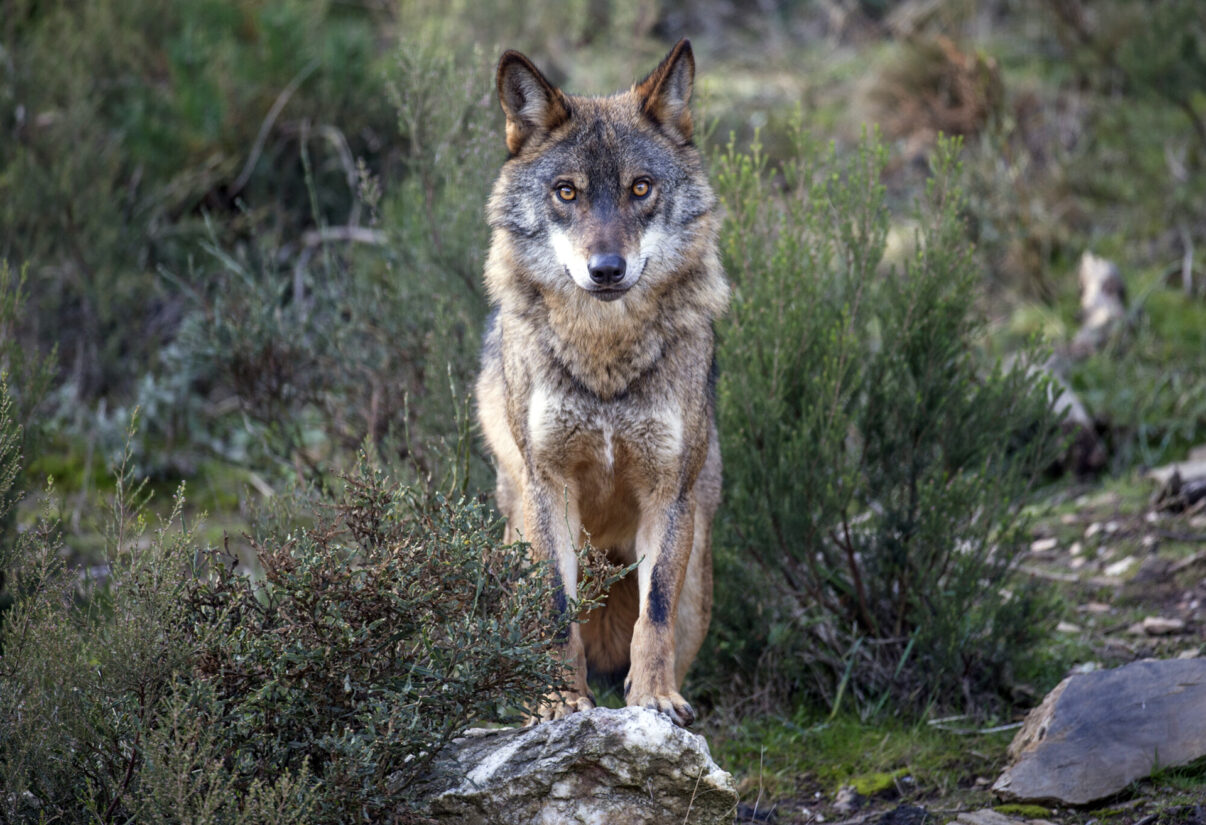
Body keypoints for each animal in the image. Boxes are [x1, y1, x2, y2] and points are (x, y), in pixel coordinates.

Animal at [475, 38, 728, 723]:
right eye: (567, 192)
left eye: (641, 188)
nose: (607, 269)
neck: (605, 356)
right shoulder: (548, 486)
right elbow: (556, 613)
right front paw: (561, 701)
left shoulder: (670, 491)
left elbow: (654, 611)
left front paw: (655, 699)